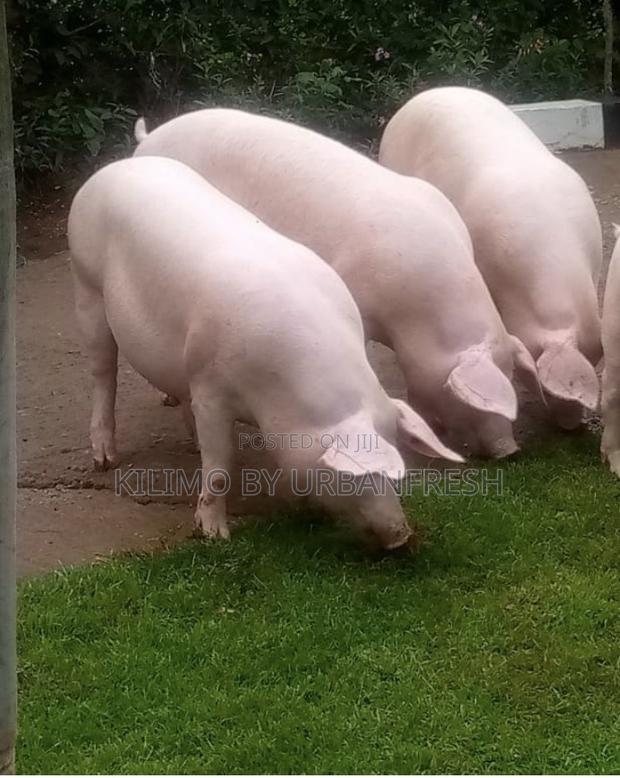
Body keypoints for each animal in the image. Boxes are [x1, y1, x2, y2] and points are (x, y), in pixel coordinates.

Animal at [68, 156, 463, 549]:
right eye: (352, 475)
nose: (401, 536)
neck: (272, 396)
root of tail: (115, 167)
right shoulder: (210, 389)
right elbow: (219, 469)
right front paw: (214, 534)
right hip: (87, 288)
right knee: (103, 373)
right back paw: (105, 460)